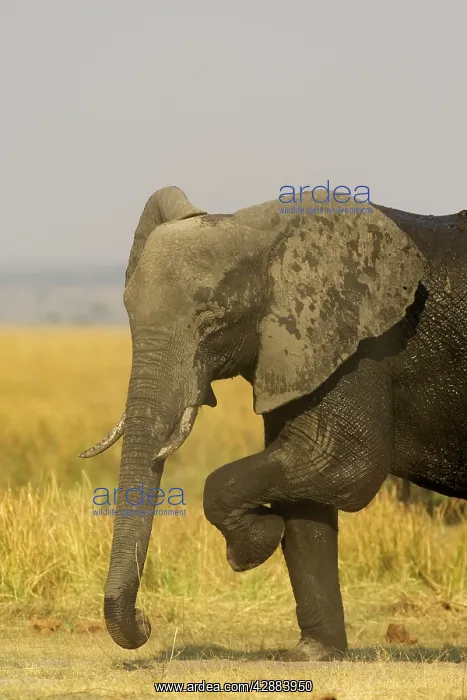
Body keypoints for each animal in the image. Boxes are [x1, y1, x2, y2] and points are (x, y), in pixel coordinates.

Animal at [80, 186, 467, 661]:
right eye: (128, 313)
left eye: (213, 319)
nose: (146, 622)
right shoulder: (298, 353)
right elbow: (305, 496)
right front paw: (313, 655)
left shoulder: (360, 349)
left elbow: (344, 466)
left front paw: (251, 548)